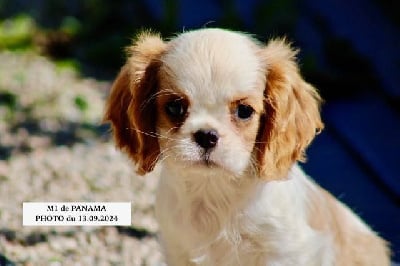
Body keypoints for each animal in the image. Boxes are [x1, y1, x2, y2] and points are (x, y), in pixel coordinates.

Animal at [104, 28, 390, 264]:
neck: (214, 191)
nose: (206, 135)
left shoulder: (286, 253)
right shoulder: (178, 250)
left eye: (244, 111)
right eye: (175, 107)